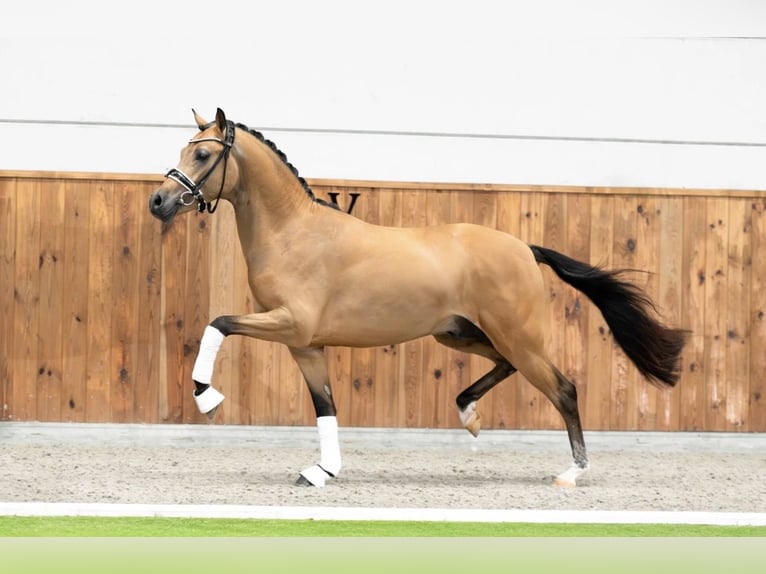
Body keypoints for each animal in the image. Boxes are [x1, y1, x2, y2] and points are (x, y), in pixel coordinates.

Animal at [149, 108, 687, 488]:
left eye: (202, 155)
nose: (159, 202)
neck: (293, 232)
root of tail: (524, 247)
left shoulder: (290, 324)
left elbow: (218, 323)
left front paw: (207, 397)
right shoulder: (306, 344)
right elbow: (326, 407)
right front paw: (322, 472)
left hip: (518, 338)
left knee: (564, 389)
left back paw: (571, 472)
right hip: (461, 335)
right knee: (506, 368)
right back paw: (469, 415)